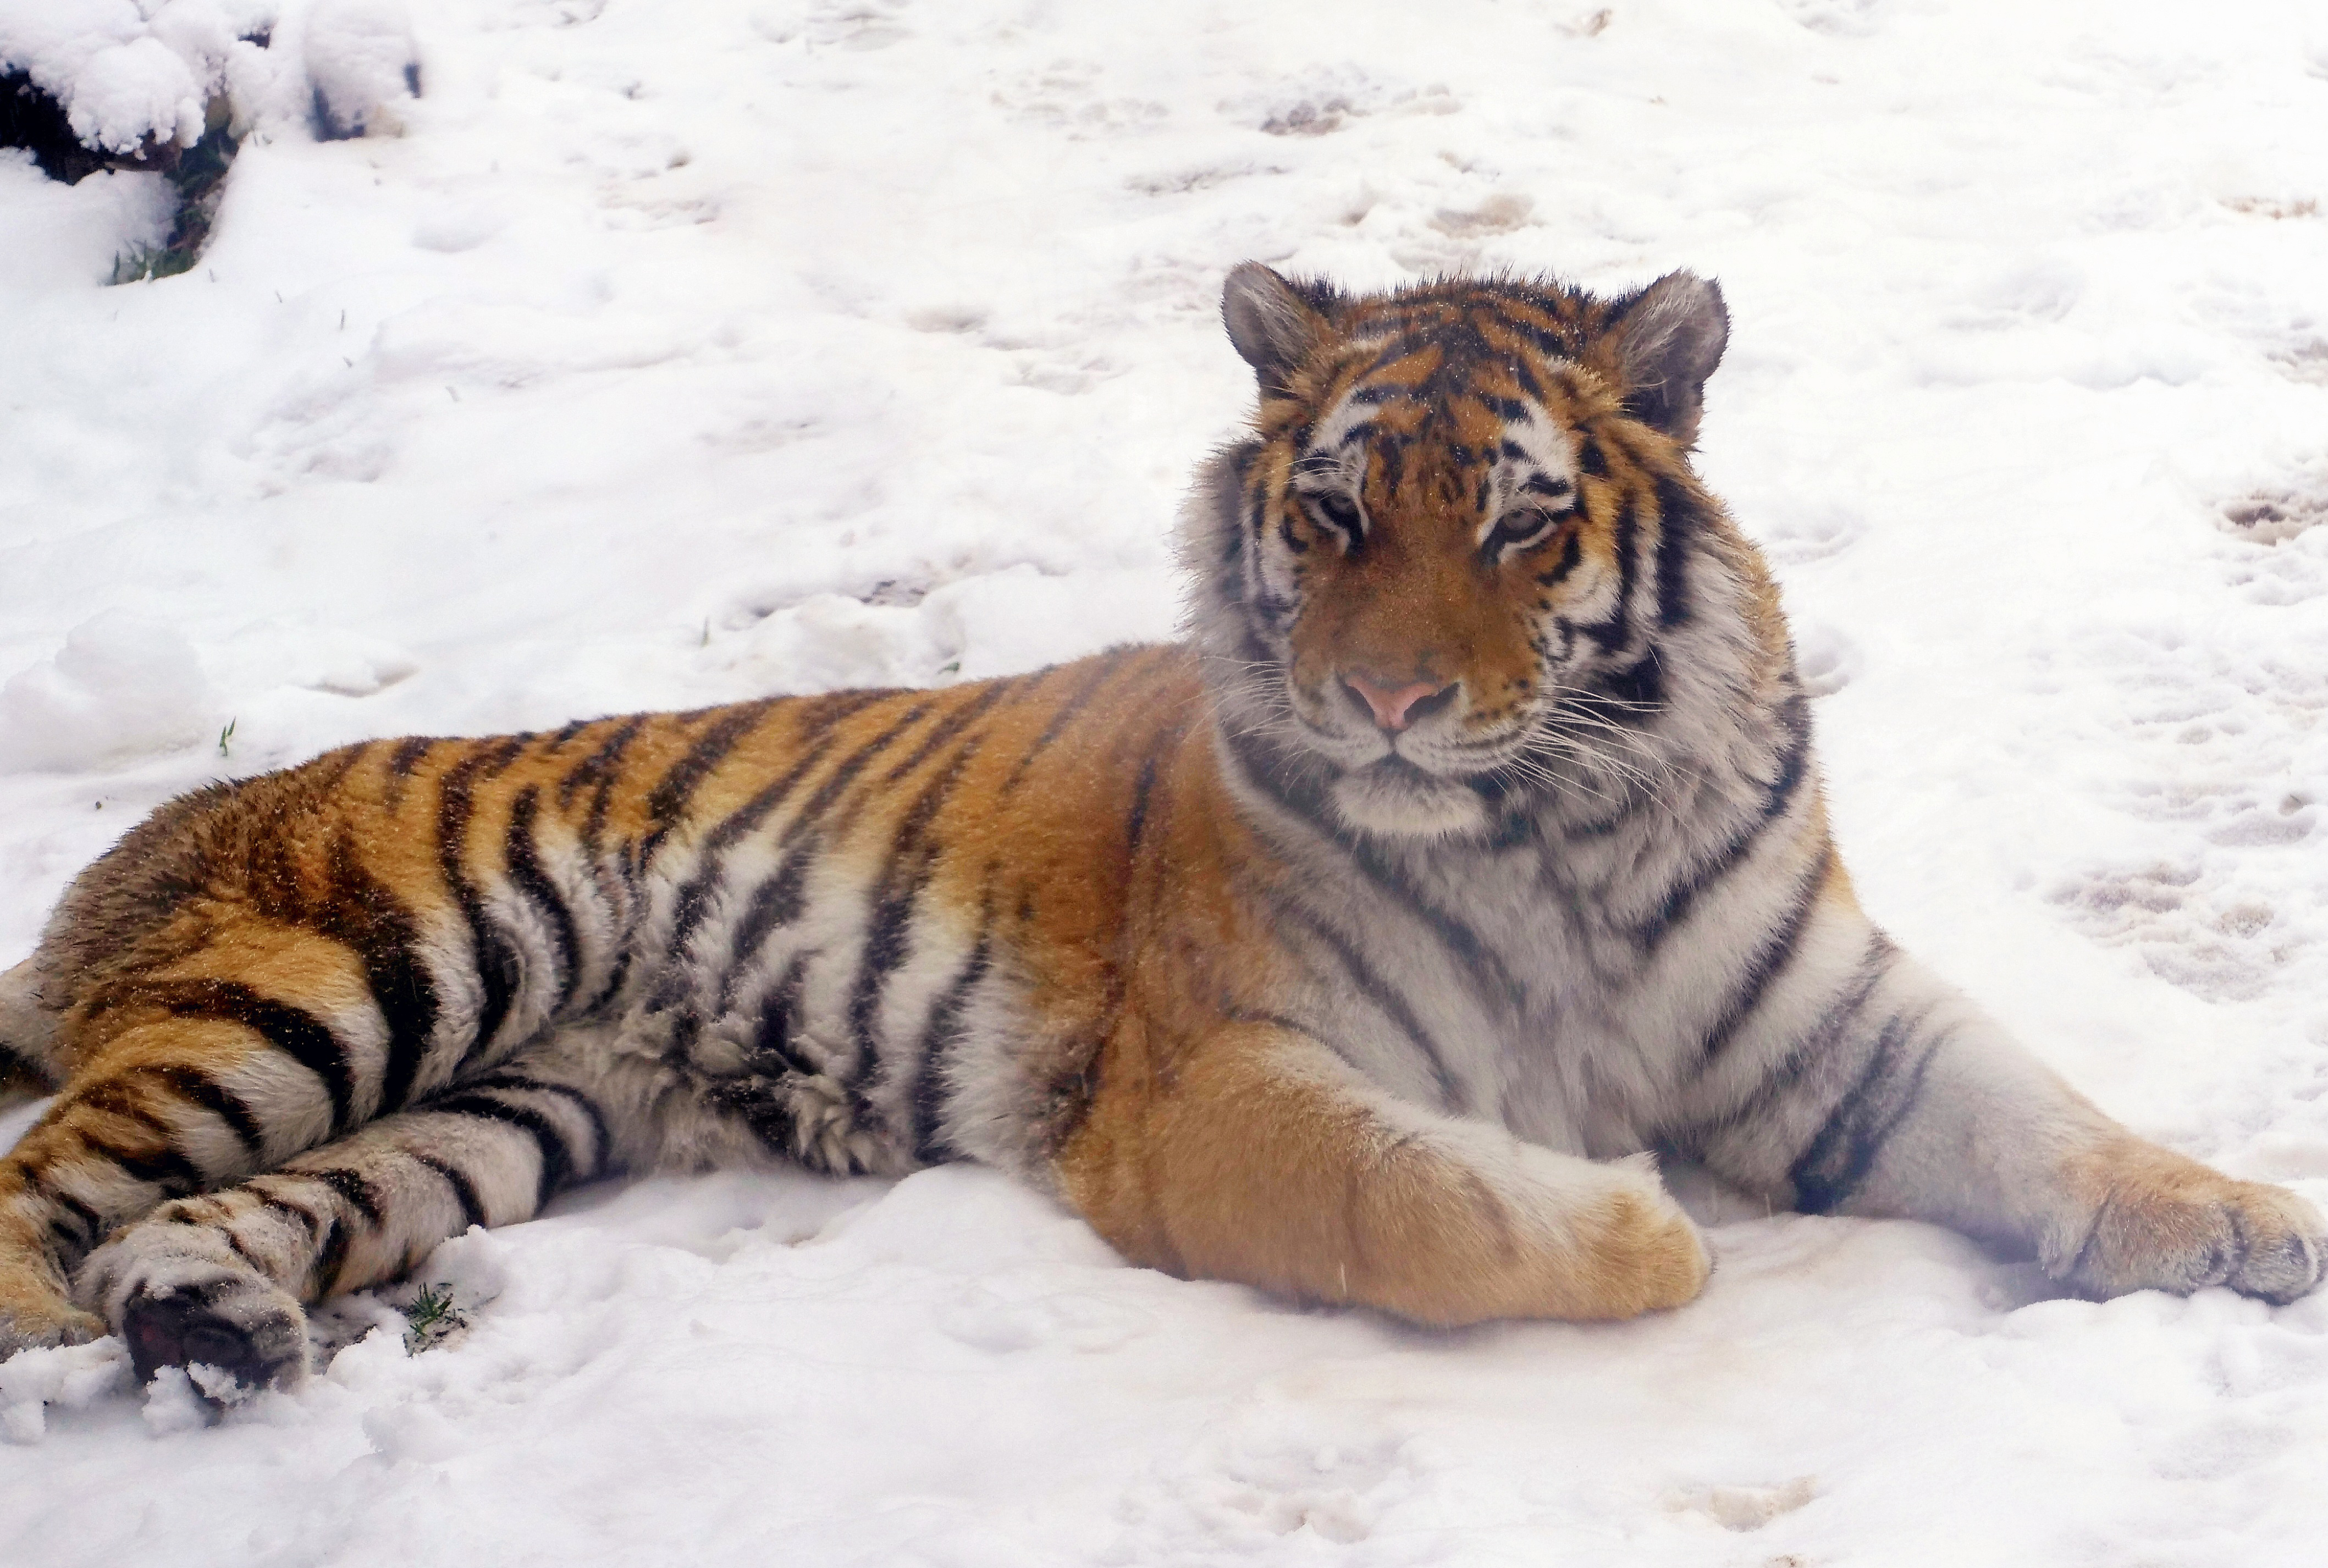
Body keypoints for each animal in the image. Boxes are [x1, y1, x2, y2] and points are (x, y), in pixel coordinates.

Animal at [3, 264, 2322, 1398]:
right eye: (1332, 512)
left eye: (1520, 523)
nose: (1386, 701)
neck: (1552, 831)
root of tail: (165, 829)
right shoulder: (1207, 1080)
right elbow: (1437, 1203)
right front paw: (1639, 1219)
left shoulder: (1823, 1022)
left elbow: (2041, 1118)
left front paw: (2241, 1225)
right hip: (352, 975)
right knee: (52, 1180)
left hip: (512, 1106)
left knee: (215, 1214)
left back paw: (210, 1324)